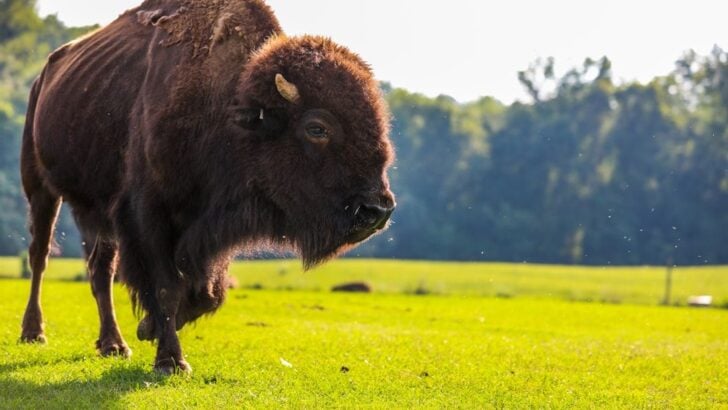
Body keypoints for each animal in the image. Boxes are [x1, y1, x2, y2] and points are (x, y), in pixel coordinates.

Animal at [20, 0, 395, 374]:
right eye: (317, 128)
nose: (378, 209)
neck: (228, 109)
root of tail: (42, 77)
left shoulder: (207, 229)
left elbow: (208, 292)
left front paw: (148, 328)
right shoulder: (148, 216)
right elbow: (167, 287)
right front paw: (171, 360)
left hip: (97, 213)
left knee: (100, 269)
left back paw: (113, 344)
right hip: (39, 187)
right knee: (40, 256)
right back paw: (34, 333)